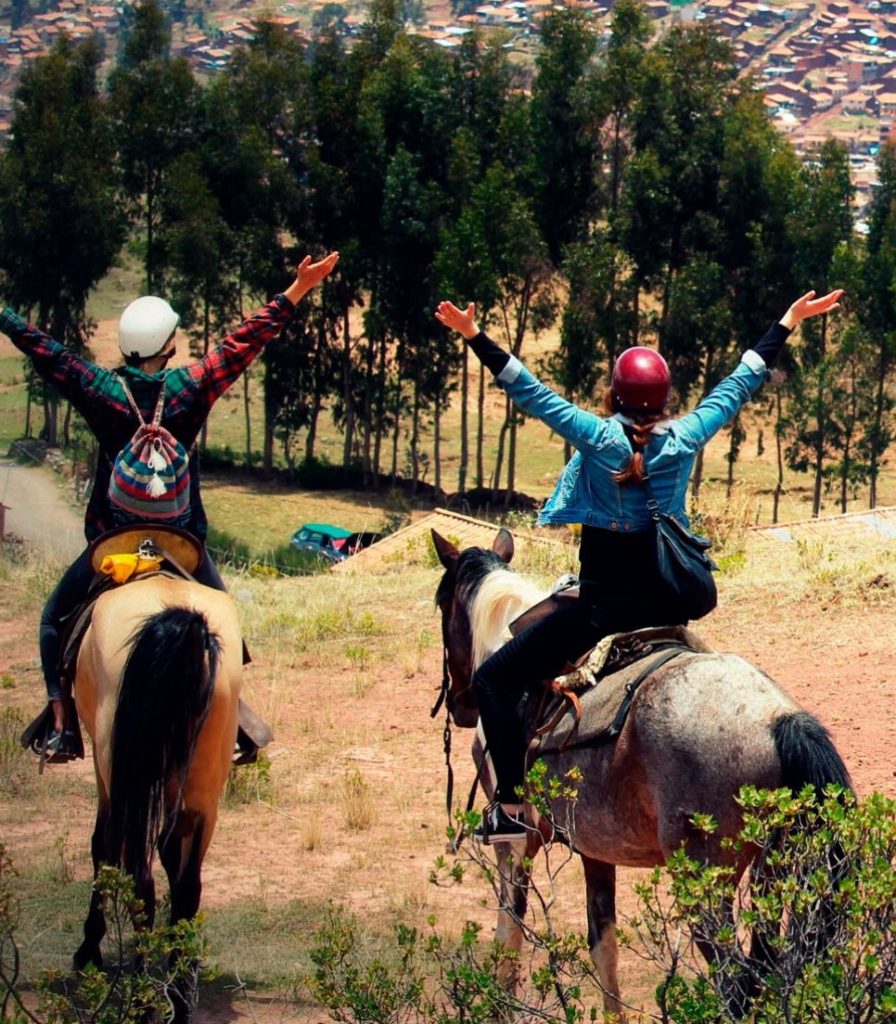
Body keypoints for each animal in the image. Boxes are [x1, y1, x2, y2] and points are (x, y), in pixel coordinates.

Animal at [71, 532, 243, 1019]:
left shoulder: (109, 778)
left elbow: (102, 848)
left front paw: (88, 948)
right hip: (203, 788)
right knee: (186, 886)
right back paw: (179, 998)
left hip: (126, 776)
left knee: (139, 877)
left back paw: (144, 999)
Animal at [434, 528, 856, 1015]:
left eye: (441, 603)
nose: (460, 705)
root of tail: (778, 720)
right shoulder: (595, 850)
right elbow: (604, 948)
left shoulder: (517, 843)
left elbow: (509, 937)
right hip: (775, 874)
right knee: (768, 972)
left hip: (706, 886)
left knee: (735, 985)